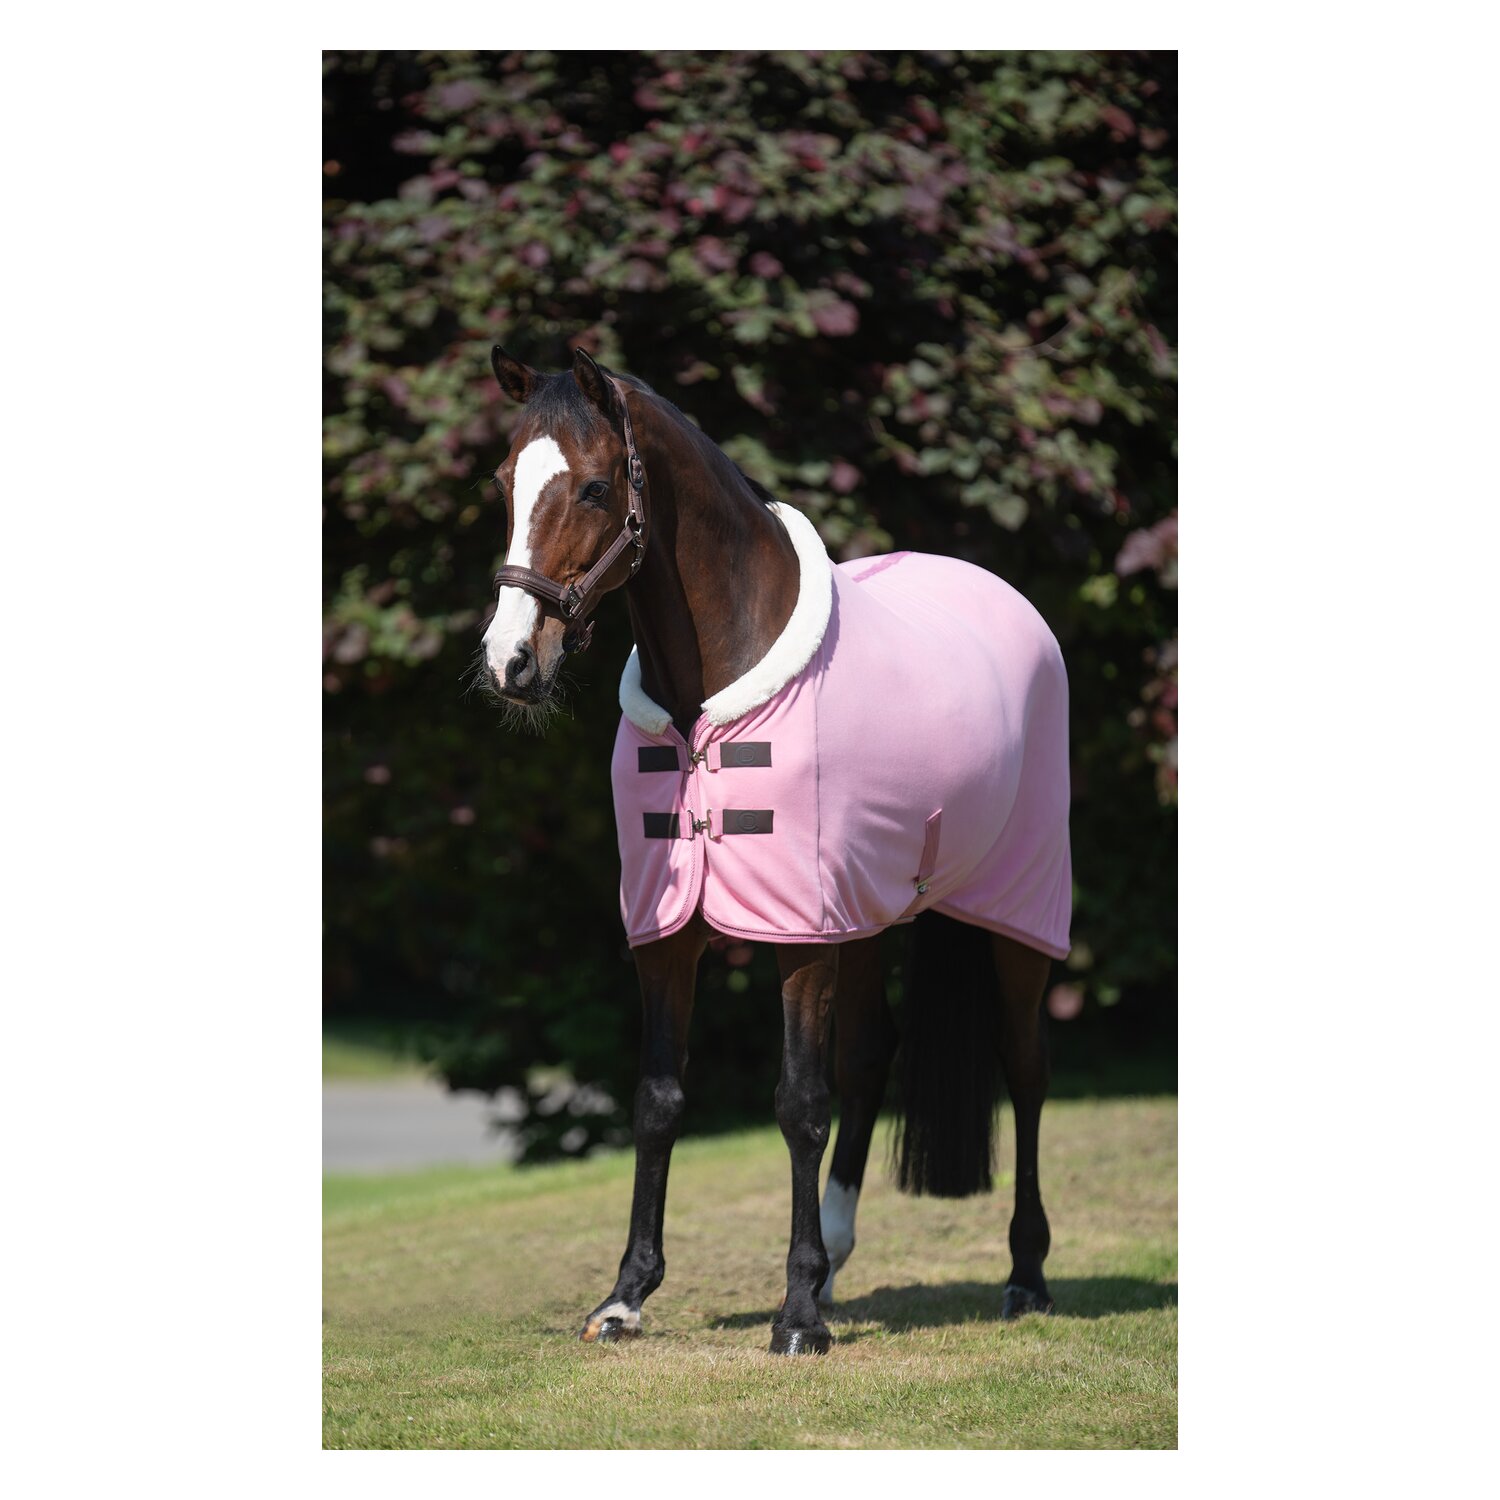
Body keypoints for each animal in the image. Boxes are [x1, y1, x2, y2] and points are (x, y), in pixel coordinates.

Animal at [478, 345, 1071, 1356]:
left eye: (594, 487)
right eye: (503, 484)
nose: (510, 662)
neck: (707, 708)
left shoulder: (801, 937)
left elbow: (799, 1103)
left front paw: (796, 1317)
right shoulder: (672, 936)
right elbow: (658, 1101)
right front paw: (627, 1296)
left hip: (1012, 915)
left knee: (1024, 1069)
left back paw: (1024, 1273)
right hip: (867, 916)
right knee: (873, 1057)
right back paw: (834, 1261)